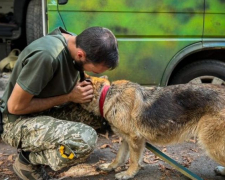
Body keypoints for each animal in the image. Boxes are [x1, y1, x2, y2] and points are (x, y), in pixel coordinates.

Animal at [80, 75, 225, 179]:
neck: (106, 94)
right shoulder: (127, 139)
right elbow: (119, 156)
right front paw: (110, 166)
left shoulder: (135, 138)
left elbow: (133, 160)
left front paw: (129, 174)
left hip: (212, 145)